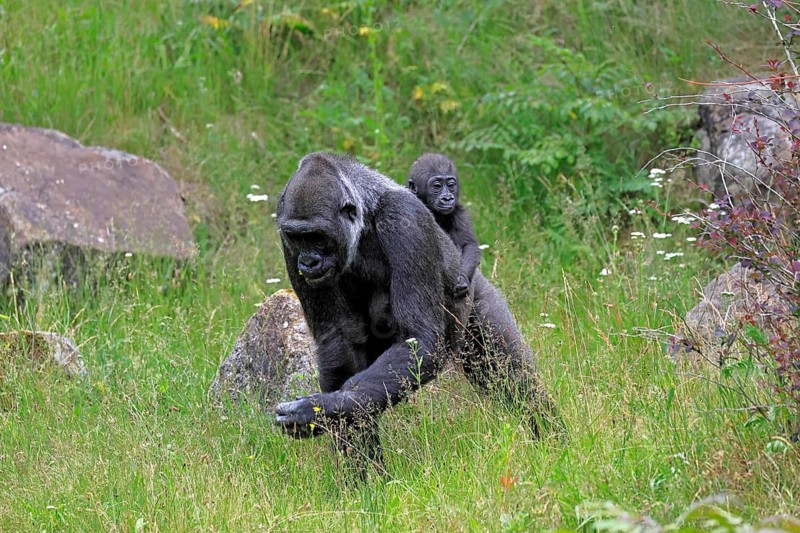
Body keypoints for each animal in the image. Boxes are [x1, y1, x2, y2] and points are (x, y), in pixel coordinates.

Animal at [407, 153, 480, 299]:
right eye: (437, 186)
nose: (447, 198)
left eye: (451, 185)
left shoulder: (460, 214)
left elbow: (468, 245)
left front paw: (463, 278)